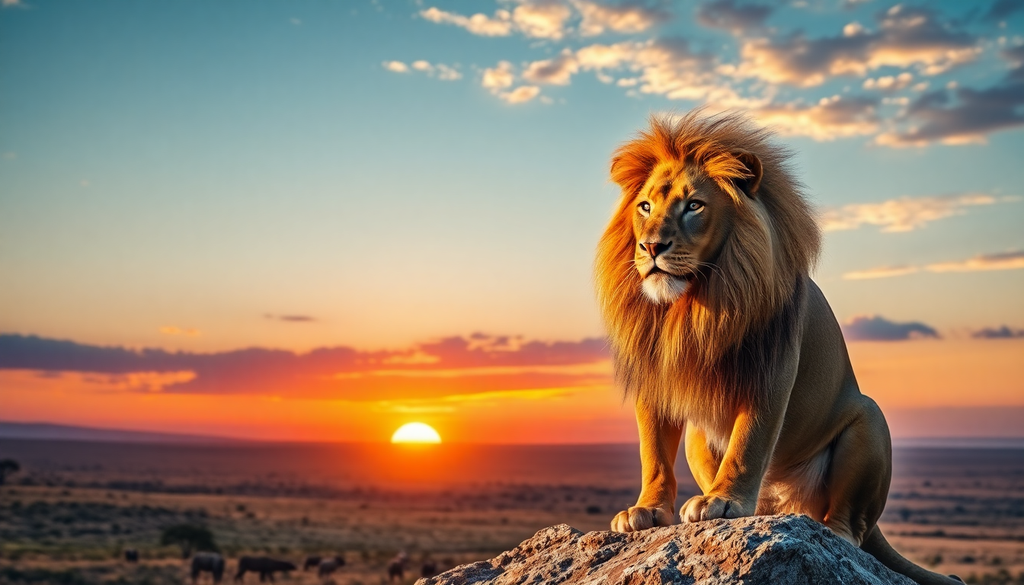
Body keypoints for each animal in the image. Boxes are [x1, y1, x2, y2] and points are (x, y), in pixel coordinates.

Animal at [595, 110, 962, 585]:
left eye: (694, 206)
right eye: (644, 207)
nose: (651, 246)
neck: (692, 306)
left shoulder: (770, 369)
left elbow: (748, 444)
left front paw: (723, 503)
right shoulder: (654, 374)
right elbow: (653, 451)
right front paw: (646, 510)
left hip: (870, 421)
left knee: (853, 525)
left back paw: (831, 533)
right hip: (701, 437)